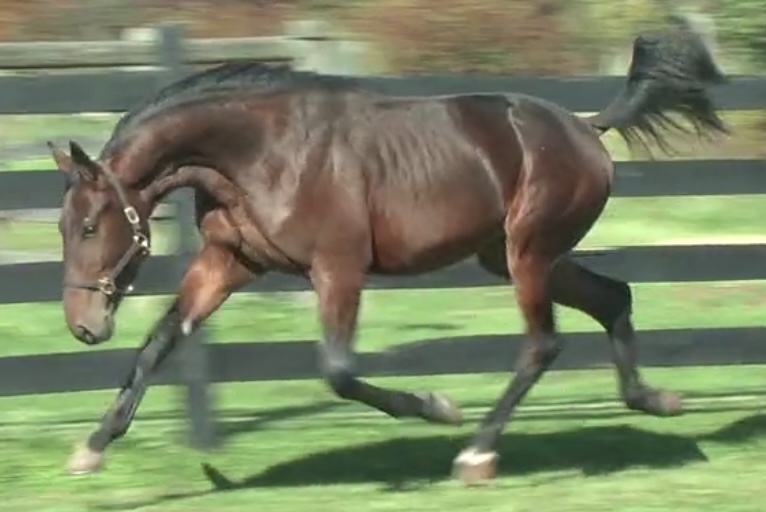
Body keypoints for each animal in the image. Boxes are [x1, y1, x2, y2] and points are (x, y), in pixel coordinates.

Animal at [48, 28, 726, 484]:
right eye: (62, 226)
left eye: (89, 226)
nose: (82, 326)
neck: (260, 151)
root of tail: (588, 128)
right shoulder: (230, 260)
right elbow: (161, 340)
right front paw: (91, 447)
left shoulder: (337, 268)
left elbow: (338, 371)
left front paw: (436, 407)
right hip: (513, 255)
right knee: (614, 297)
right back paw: (656, 400)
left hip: (528, 253)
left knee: (543, 343)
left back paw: (476, 453)